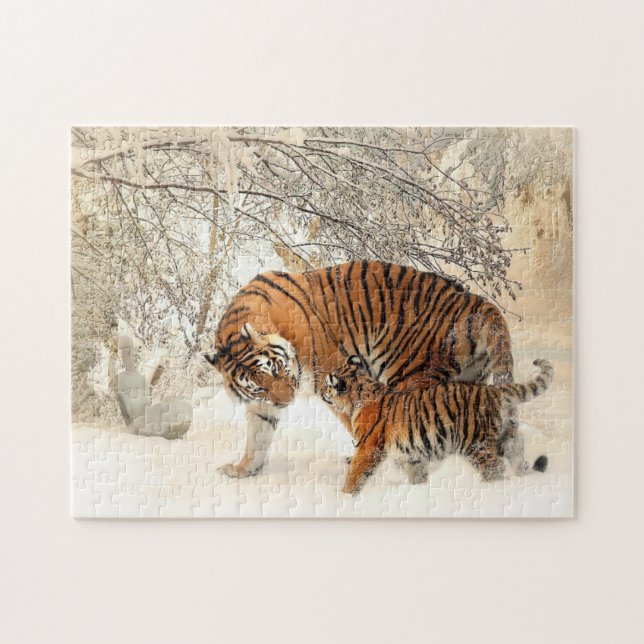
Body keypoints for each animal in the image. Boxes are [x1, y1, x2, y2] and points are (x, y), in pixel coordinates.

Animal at [204, 260, 514, 479]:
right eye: (259, 386)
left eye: (278, 368)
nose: (287, 402)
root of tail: (475, 302)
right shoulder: (262, 404)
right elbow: (257, 437)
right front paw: (244, 470)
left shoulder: (333, 375)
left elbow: (356, 422)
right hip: (467, 382)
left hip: (411, 375)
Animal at [322, 355, 553, 495]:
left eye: (327, 385)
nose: (322, 392)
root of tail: (494, 391)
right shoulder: (411, 455)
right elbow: (417, 474)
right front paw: (418, 489)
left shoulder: (368, 449)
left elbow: (355, 474)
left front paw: (345, 496)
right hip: (507, 437)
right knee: (518, 457)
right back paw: (525, 478)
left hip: (475, 443)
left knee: (494, 468)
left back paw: (488, 489)